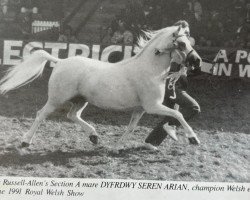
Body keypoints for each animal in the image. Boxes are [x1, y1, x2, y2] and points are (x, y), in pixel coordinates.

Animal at [0, 21, 201, 149]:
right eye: (182, 43)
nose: (197, 61)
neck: (150, 69)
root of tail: (60, 61)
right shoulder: (153, 106)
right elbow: (177, 113)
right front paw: (193, 138)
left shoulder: (140, 109)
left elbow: (131, 127)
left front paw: (116, 147)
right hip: (56, 99)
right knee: (41, 114)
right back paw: (26, 141)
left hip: (81, 100)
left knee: (72, 115)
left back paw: (94, 136)